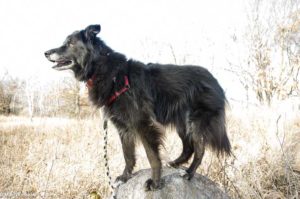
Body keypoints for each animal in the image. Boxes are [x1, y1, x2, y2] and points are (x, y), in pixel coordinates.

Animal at [45, 24, 232, 191]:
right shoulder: (123, 126)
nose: (46, 53)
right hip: (181, 123)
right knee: (189, 146)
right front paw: (124, 177)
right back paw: (175, 163)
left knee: (199, 149)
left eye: (70, 43)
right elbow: (127, 154)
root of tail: (215, 81)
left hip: (195, 122)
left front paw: (155, 183)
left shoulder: (142, 123)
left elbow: (152, 156)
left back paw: (189, 173)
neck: (108, 71)